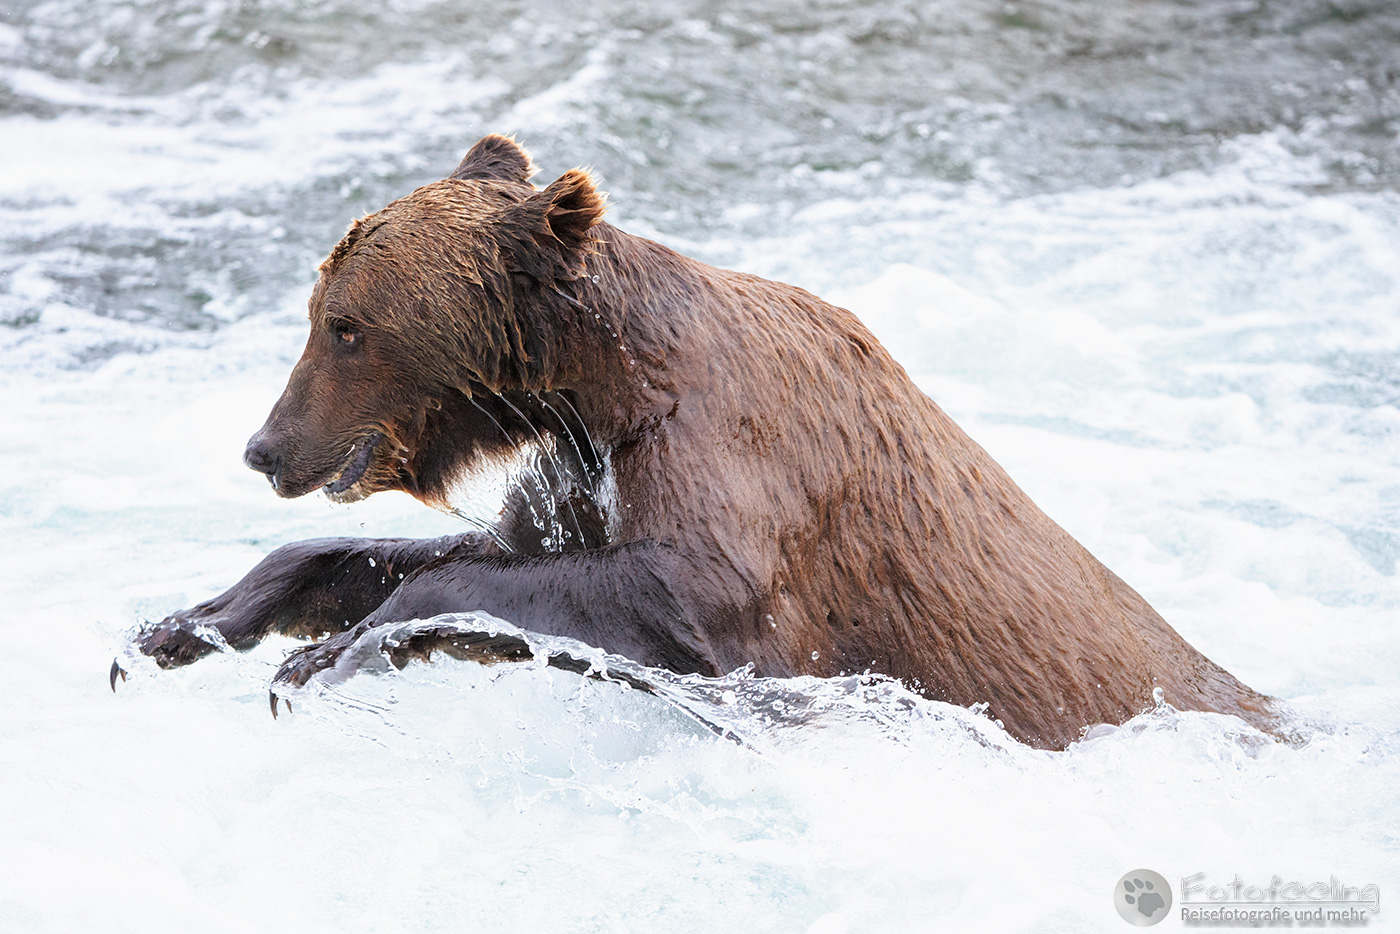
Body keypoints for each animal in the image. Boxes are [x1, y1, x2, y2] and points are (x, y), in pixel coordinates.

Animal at [121, 134, 1279, 749]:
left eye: (345, 324)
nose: (265, 446)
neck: (601, 388)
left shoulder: (743, 475)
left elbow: (683, 593)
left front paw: (325, 656)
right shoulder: (575, 481)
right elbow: (460, 552)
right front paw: (188, 624)